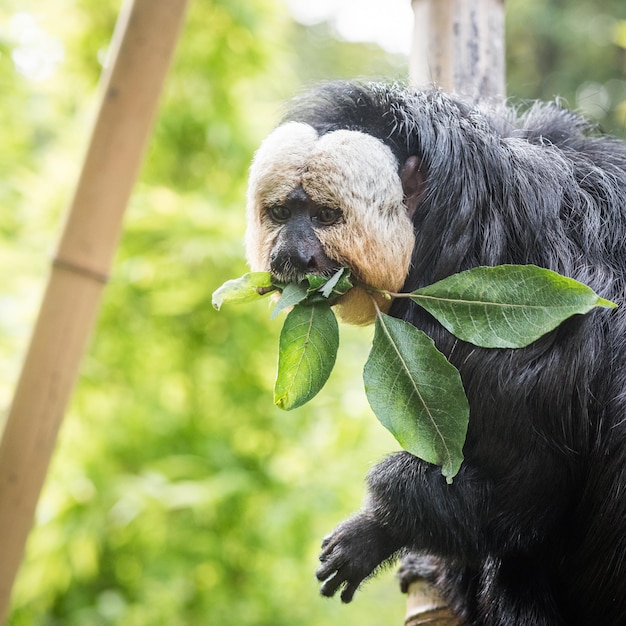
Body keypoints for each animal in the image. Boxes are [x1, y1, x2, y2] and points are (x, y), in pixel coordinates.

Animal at [243, 80, 624, 620]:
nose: (289, 255)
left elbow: (526, 493)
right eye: (280, 213)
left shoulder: (509, 337)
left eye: (324, 216)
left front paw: (376, 531)